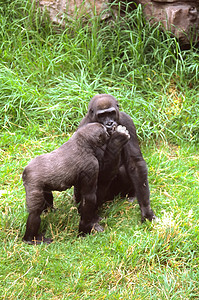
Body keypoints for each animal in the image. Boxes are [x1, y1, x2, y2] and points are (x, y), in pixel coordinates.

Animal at [74, 92, 155, 229]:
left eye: (111, 113)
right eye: (101, 115)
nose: (110, 123)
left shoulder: (126, 120)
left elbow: (134, 162)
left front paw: (146, 210)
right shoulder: (85, 129)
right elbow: (98, 172)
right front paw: (117, 140)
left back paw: (132, 195)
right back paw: (92, 217)